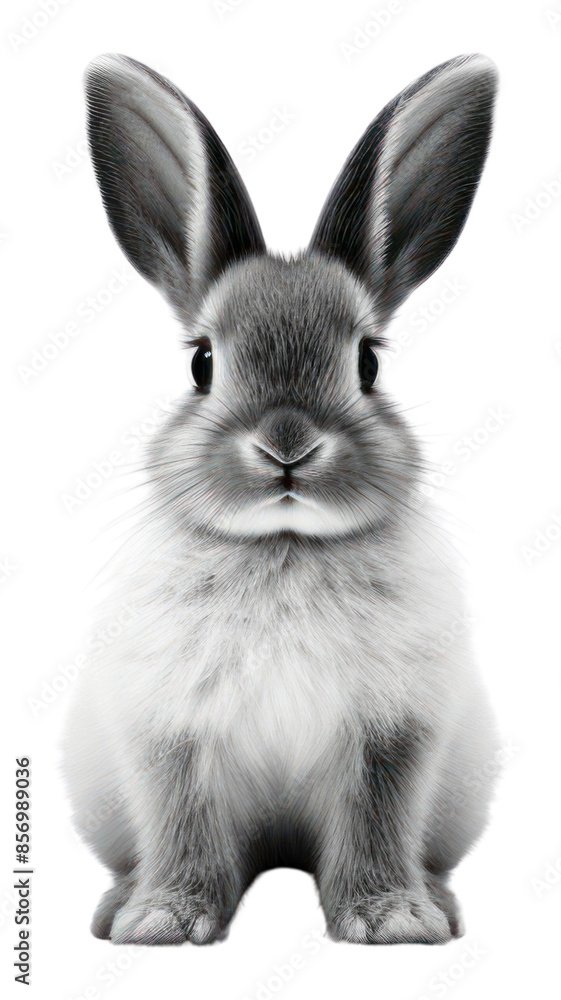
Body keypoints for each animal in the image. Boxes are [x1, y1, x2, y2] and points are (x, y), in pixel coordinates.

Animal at [62, 52, 499, 946]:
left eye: (368, 363)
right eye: (201, 363)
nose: (286, 447)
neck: (284, 545)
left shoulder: (391, 735)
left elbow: (376, 820)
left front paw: (393, 920)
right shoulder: (172, 734)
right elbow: (183, 823)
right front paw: (162, 921)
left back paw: (438, 901)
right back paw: (119, 903)